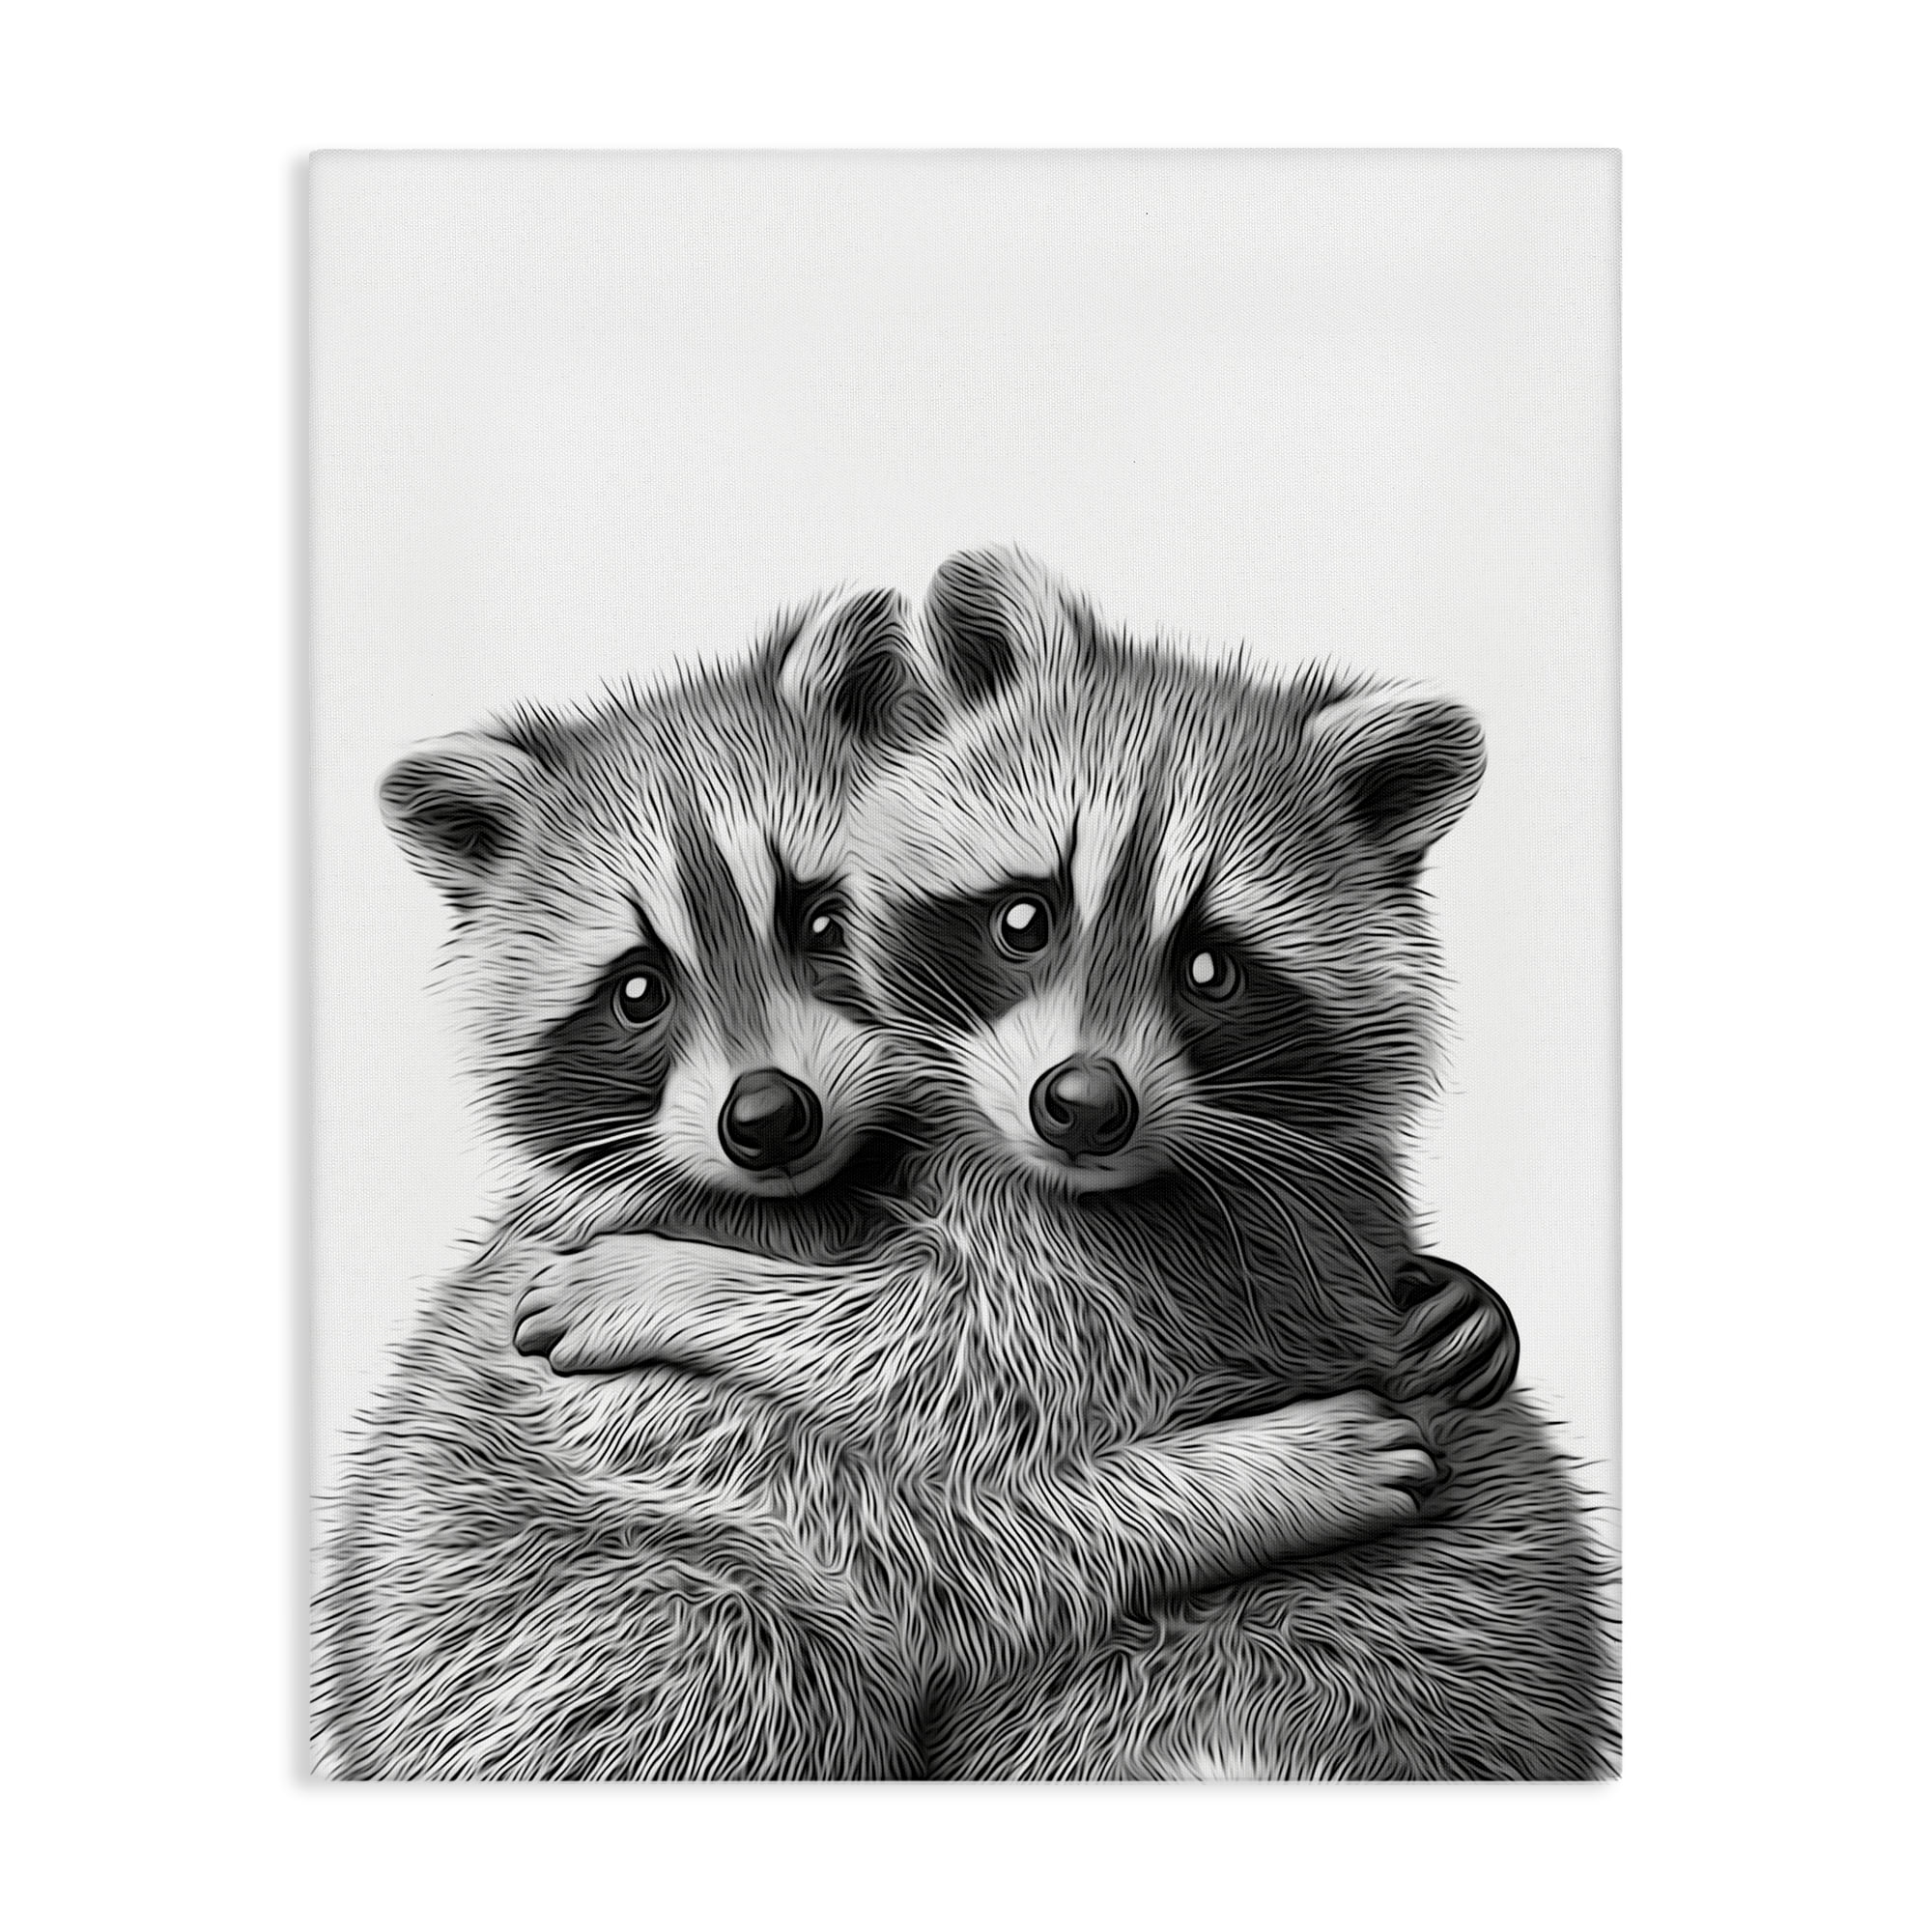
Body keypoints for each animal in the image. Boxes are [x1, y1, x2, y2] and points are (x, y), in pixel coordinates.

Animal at [314, 585, 1445, 1779]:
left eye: (819, 922)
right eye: (637, 990)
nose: (768, 1117)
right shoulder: (626, 1422)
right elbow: (933, 1550)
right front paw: (1260, 1476)